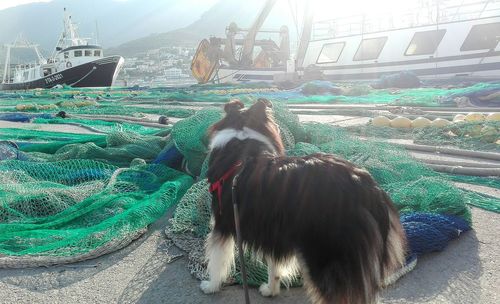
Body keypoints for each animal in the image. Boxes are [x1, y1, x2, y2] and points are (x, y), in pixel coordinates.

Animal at [201, 100, 408, 304]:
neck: (242, 142)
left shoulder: (221, 224)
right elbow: (274, 265)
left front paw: (210, 286)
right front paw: (271, 290)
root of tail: (366, 185)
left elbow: (216, 261)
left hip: (324, 254)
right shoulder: (272, 230)